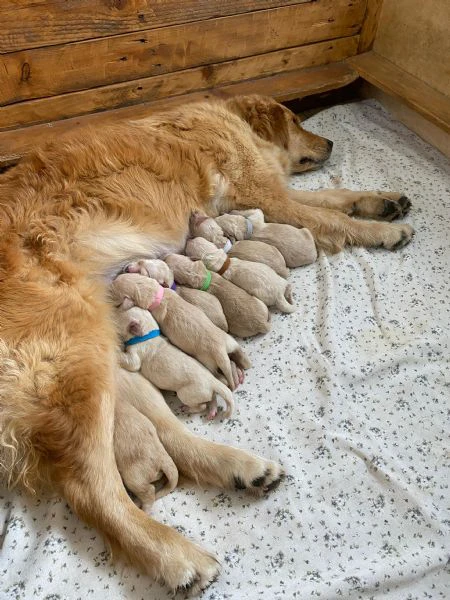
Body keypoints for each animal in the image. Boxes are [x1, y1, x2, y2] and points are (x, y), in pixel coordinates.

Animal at [109, 272, 250, 390]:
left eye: (113, 292)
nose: (109, 283)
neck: (154, 293)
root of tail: (220, 349)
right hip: (230, 342)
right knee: (235, 357)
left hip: (207, 361)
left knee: (221, 371)